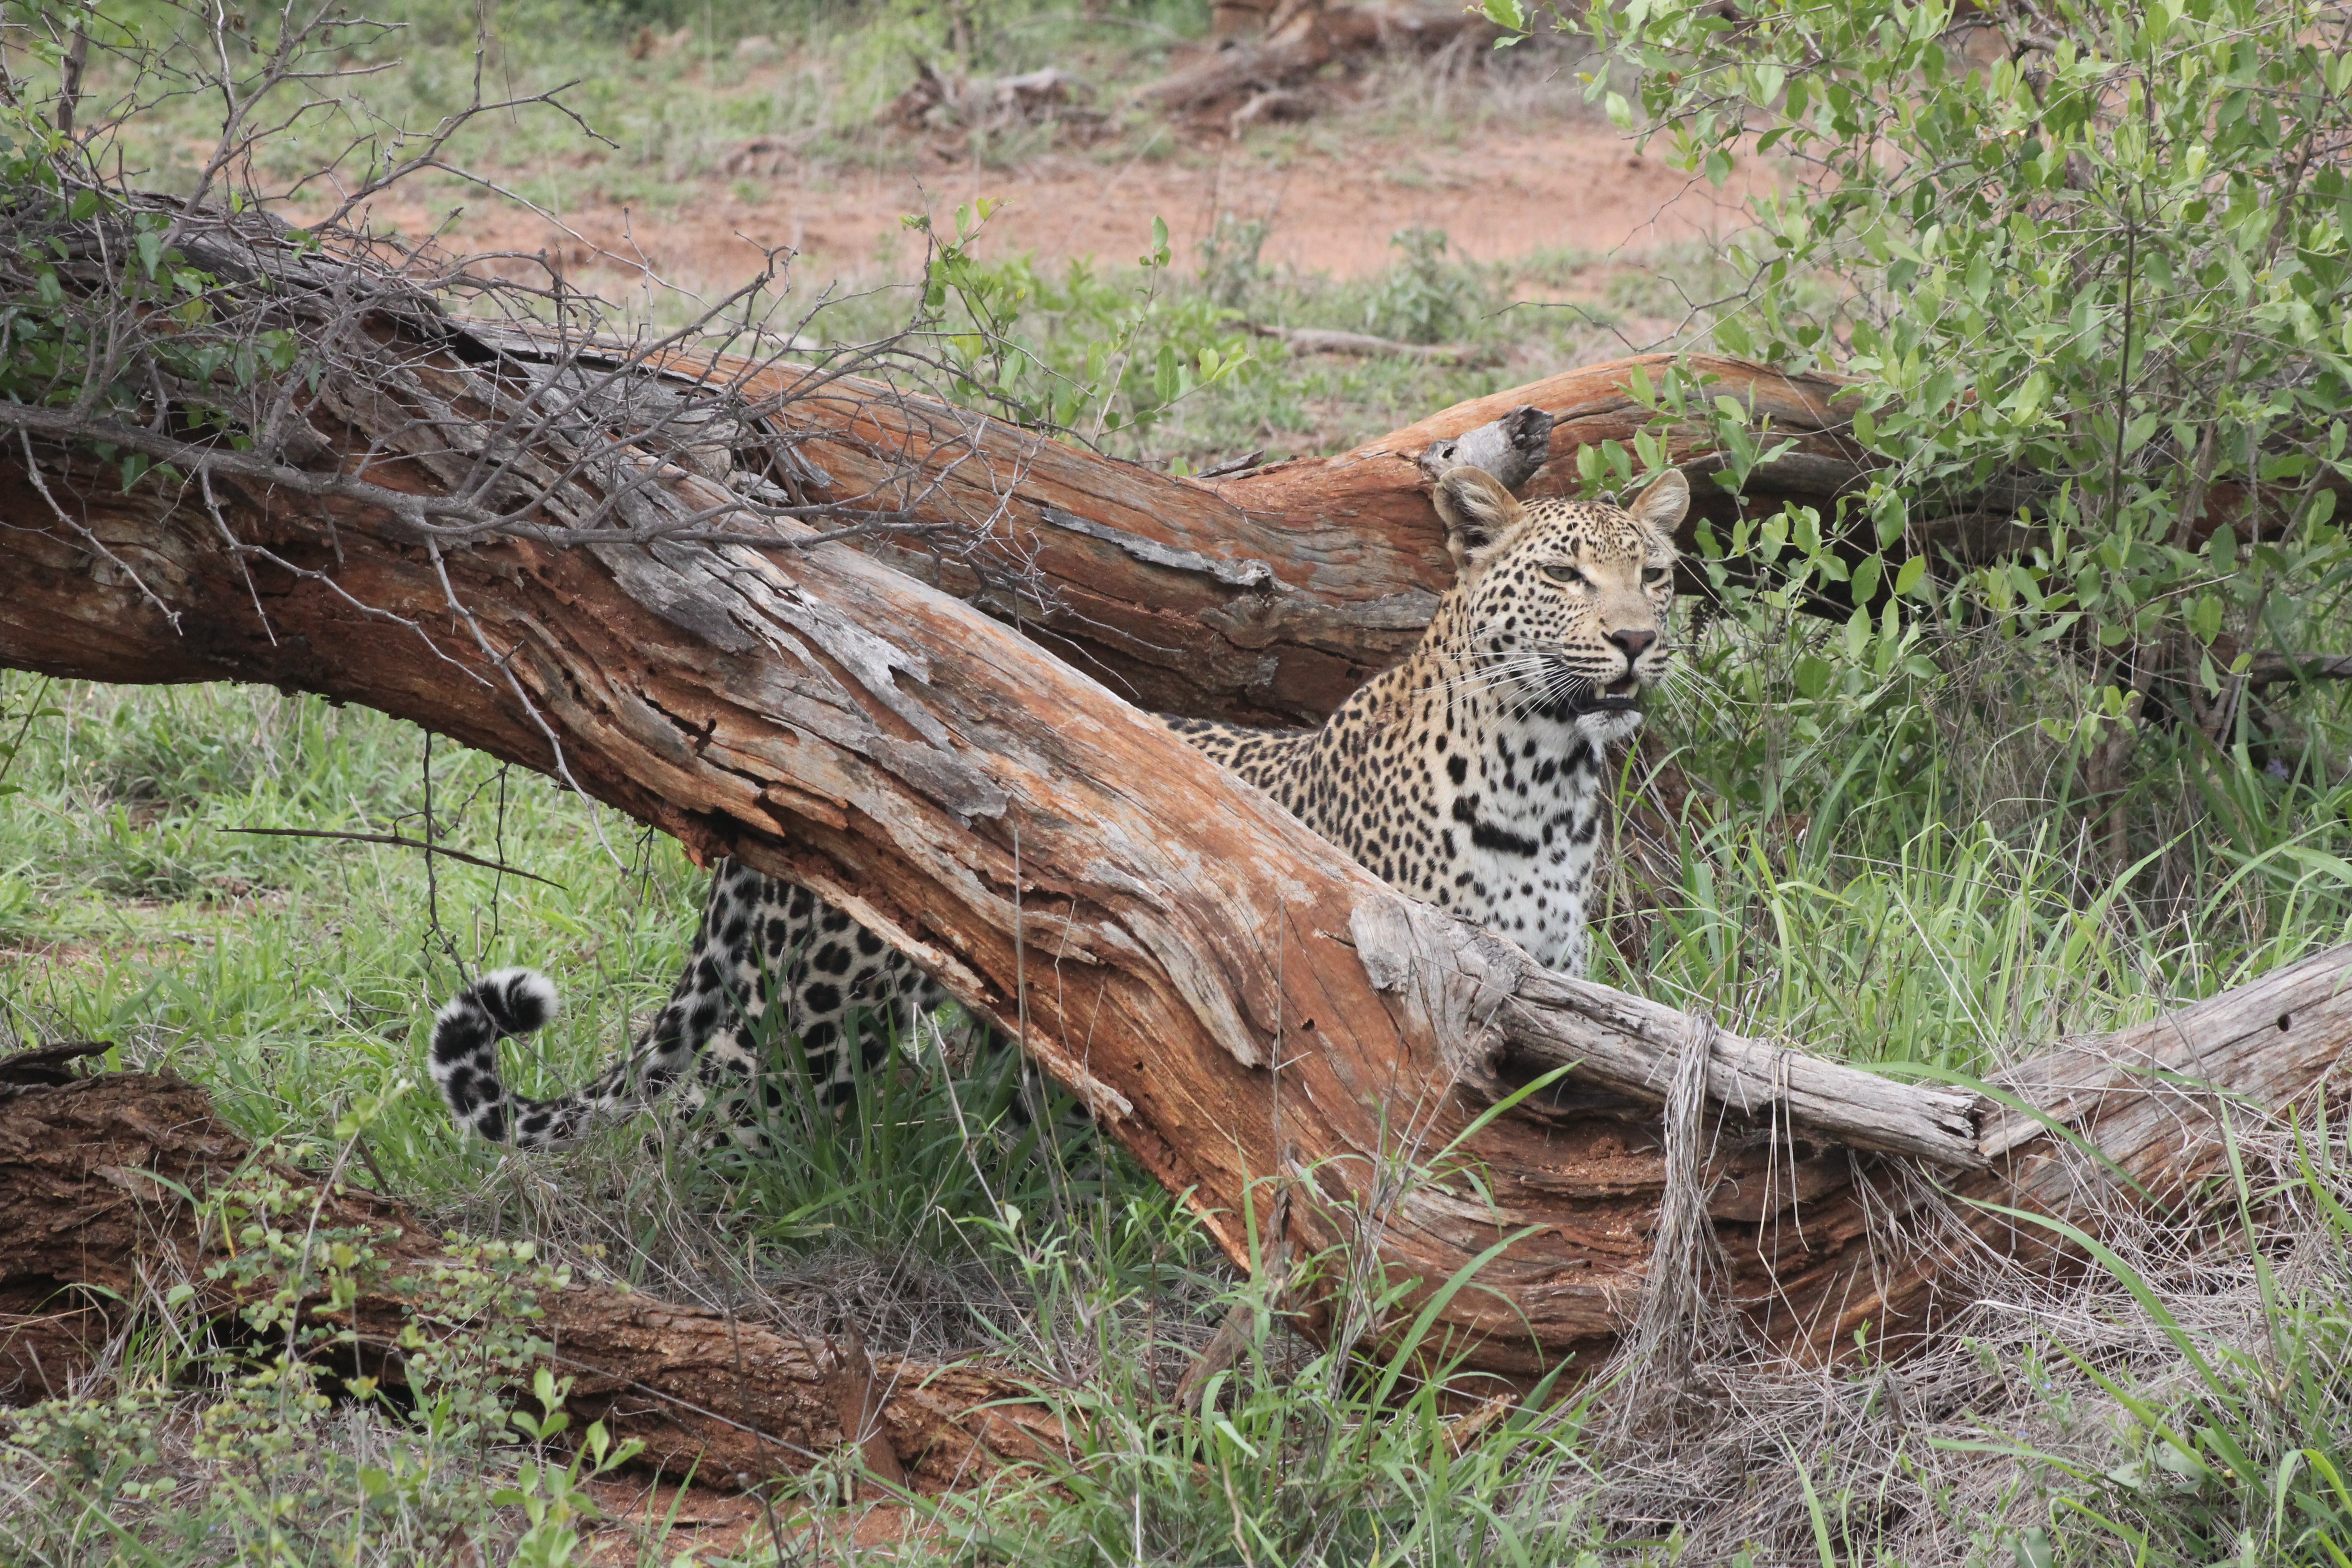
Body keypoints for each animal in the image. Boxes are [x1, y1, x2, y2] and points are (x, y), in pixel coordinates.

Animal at [428, 464, 1686, 1150]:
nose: (1637, 640)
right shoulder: (1412, 1016)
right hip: (813, 1014)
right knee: (716, 1120)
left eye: (1657, 573)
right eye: (1566, 575)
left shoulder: (1537, 1005)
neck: (1551, 774)